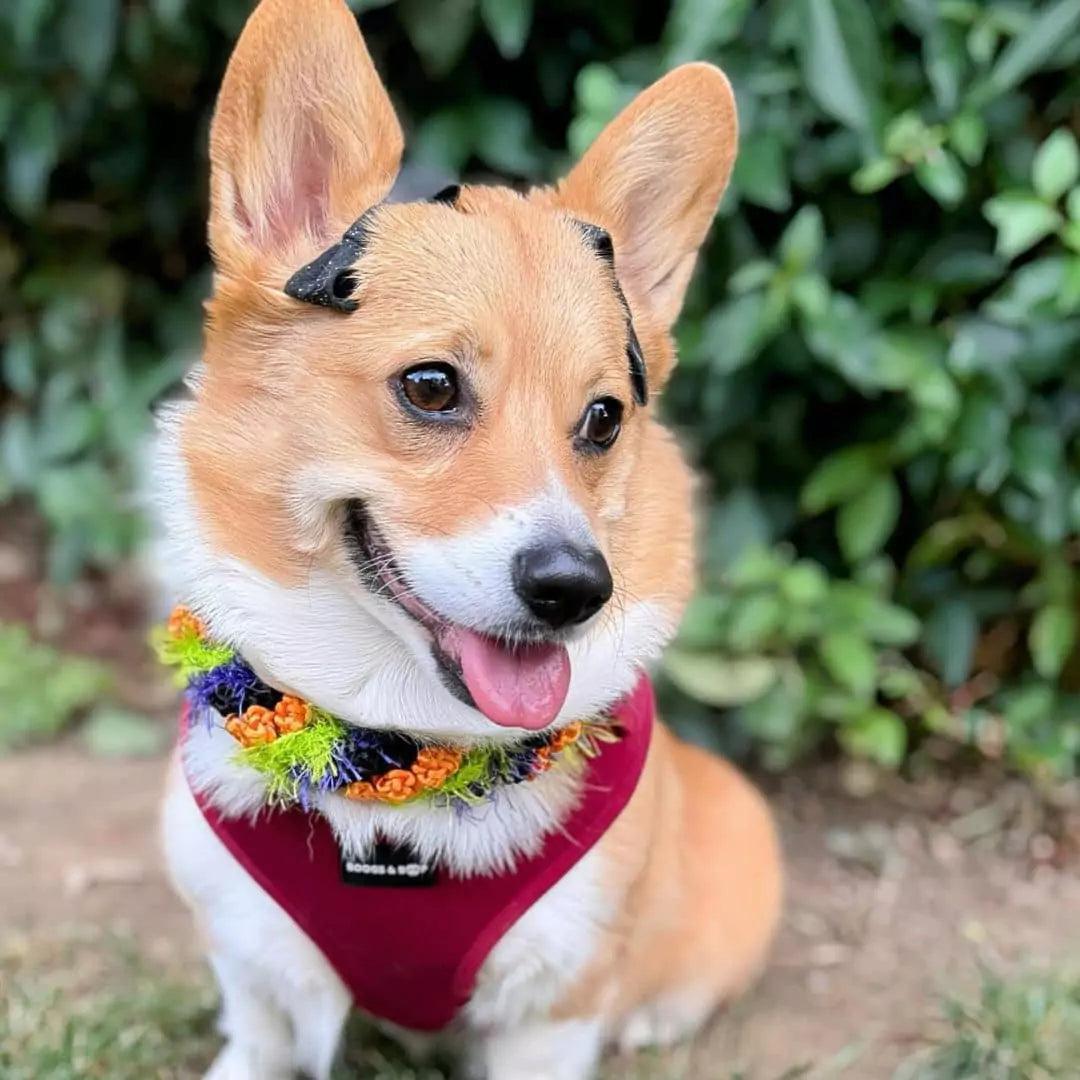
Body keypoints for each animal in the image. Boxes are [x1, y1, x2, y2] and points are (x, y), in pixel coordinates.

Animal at [154, 2, 777, 1080]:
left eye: (604, 419)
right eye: (432, 386)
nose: (575, 590)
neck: (393, 756)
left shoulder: (550, 1012)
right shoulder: (258, 975)